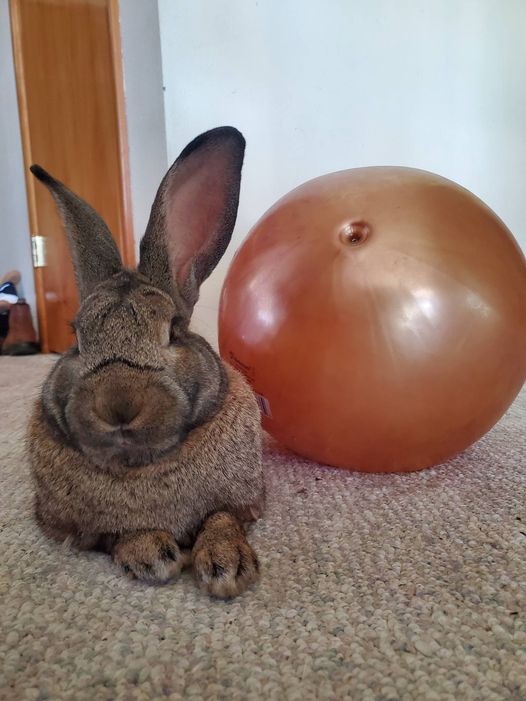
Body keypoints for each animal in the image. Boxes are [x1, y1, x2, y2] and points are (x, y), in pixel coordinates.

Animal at [26, 126, 266, 596]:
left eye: (172, 331)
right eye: (76, 337)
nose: (118, 406)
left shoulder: (244, 500)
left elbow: (221, 516)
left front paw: (227, 566)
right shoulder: (78, 529)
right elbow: (116, 534)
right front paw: (152, 555)